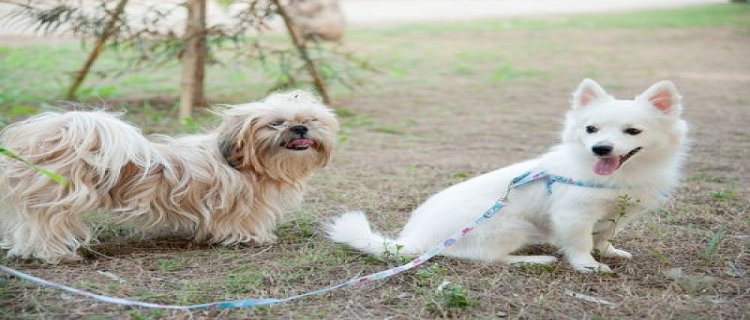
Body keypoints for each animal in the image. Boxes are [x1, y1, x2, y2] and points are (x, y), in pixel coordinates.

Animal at [0, 90, 340, 262]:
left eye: (312, 120)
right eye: (276, 123)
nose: (300, 128)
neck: (247, 163)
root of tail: (55, 134)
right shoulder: (243, 206)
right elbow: (242, 224)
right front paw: (252, 238)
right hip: (55, 202)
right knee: (45, 227)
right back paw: (54, 254)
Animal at [332, 80, 692, 272]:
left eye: (632, 131)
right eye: (591, 129)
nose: (601, 148)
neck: (620, 175)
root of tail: (415, 239)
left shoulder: (618, 214)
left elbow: (604, 235)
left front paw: (609, 251)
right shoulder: (573, 216)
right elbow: (580, 243)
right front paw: (588, 265)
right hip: (512, 226)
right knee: (484, 257)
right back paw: (535, 259)